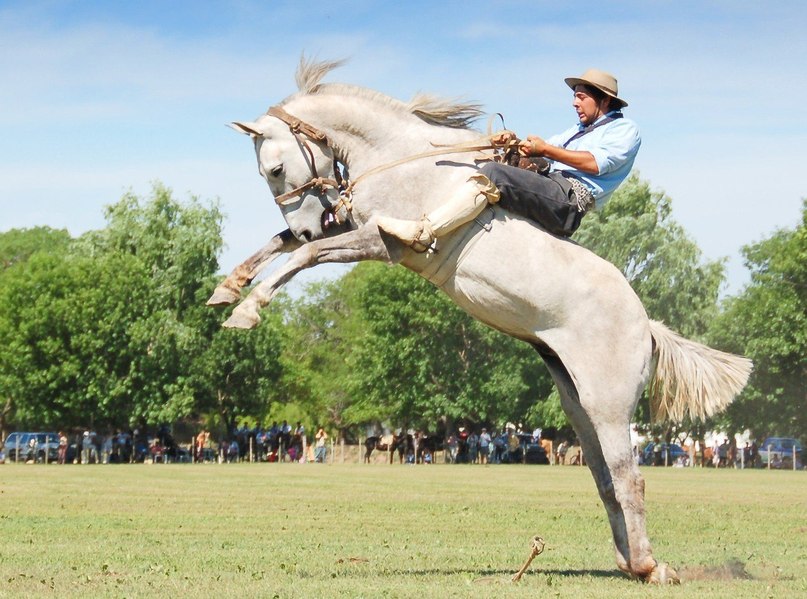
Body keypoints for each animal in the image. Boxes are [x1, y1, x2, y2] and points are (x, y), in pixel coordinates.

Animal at [208, 58, 752, 584]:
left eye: (275, 168)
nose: (309, 222)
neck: (401, 154)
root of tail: (647, 326)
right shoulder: (348, 224)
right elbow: (282, 243)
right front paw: (227, 288)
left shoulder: (379, 241)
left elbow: (306, 254)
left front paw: (247, 310)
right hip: (577, 401)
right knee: (603, 476)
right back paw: (627, 562)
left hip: (609, 402)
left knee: (628, 476)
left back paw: (649, 567)